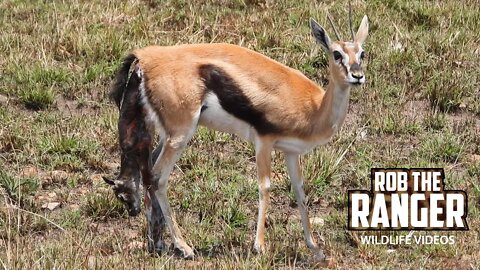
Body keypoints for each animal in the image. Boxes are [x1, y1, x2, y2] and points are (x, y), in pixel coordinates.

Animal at [104, 15, 368, 260]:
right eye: (336, 54)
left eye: (362, 53)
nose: (357, 76)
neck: (314, 108)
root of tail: (145, 56)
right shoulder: (264, 141)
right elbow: (265, 187)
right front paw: (260, 247)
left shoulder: (291, 152)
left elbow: (300, 192)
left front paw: (314, 248)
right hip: (181, 133)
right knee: (158, 177)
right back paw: (184, 247)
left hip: (169, 135)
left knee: (147, 170)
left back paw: (156, 243)